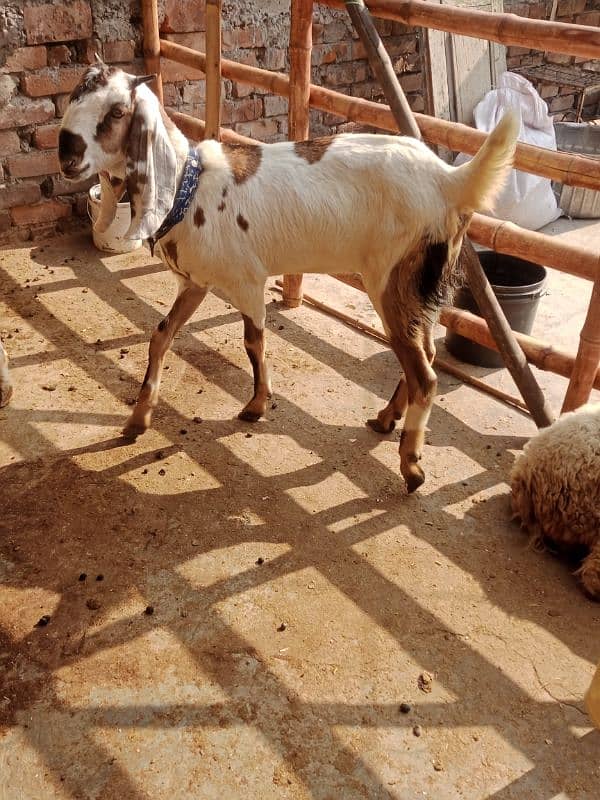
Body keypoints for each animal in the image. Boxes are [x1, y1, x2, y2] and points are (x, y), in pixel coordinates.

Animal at [61, 62, 516, 490]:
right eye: (73, 95)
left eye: (117, 111)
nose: (66, 152)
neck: (189, 187)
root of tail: (449, 179)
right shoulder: (195, 283)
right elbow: (160, 337)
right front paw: (137, 420)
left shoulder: (247, 281)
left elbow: (253, 342)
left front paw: (256, 406)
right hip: (421, 287)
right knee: (427, 353)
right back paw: (386, 418)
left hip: (391, 279)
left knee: (425, 375)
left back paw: (411, 465)